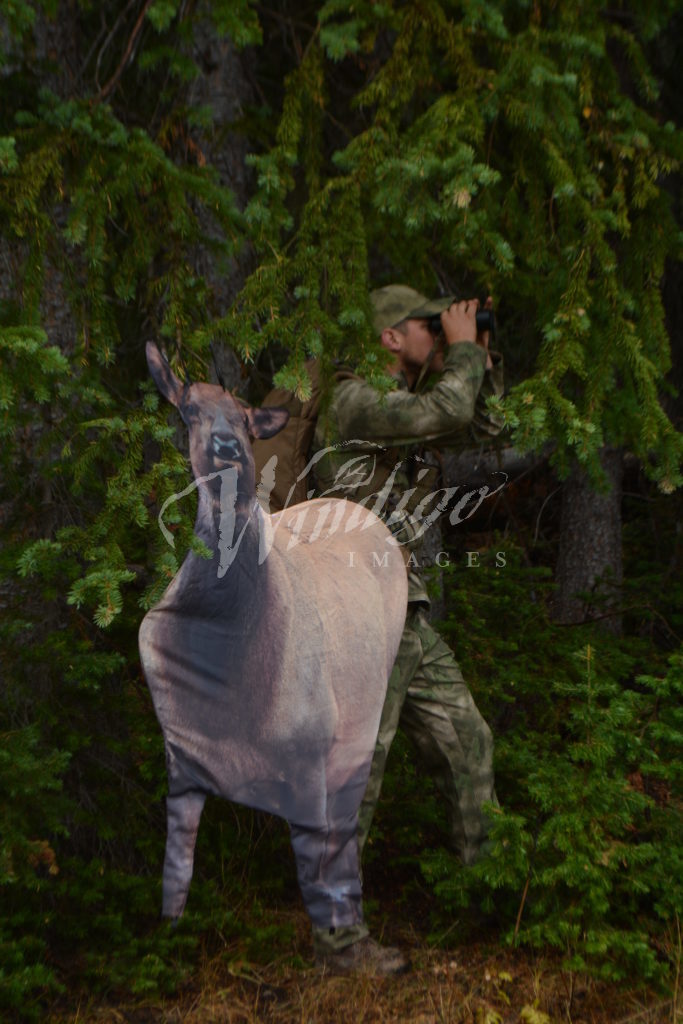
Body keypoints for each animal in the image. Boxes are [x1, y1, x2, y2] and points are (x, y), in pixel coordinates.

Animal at [139, 343, 408, 968]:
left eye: (244, 414)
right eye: (187, 408)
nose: (228, 448)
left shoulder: (310, 748)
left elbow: (315, 855)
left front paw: (342, 946)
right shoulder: (181, 756)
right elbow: (176, 867)